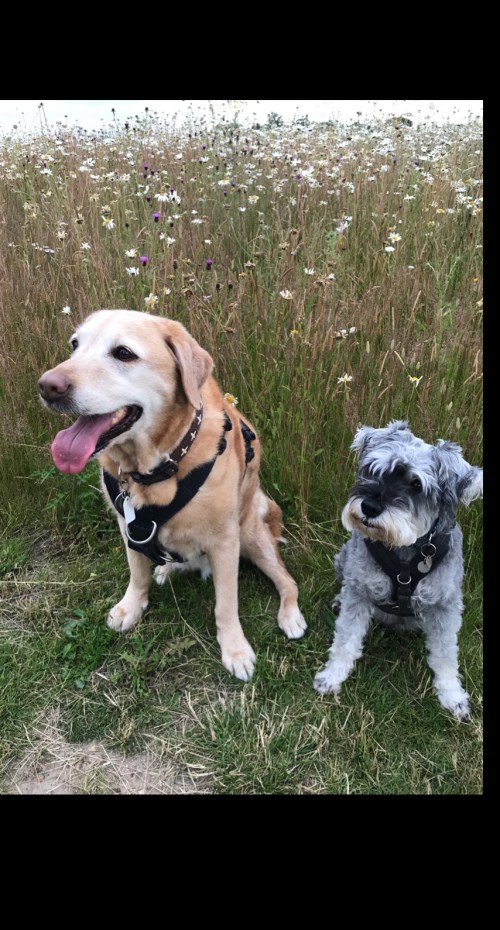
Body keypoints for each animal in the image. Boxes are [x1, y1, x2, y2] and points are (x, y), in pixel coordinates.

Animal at [38, 309, 306, 680]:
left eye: (123, 353)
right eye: (75, 345)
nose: (47, 386)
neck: (154, 469)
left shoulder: (225, 541)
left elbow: (226, 604)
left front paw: (235, 650)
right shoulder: (128, 527)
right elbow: (137, 574)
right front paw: (131, 607)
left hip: (253, 537)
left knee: (288, 581)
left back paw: (290, 615)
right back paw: (167, 569)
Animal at [313, 420, 482, 719]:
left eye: (416, 484)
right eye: (373, 469)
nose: (369, 507)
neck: (405, 550)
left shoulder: (445, 607)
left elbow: (446, 655)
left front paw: (452, 695)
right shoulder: (360, 591)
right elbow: (345, 640)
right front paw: (332, 676)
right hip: (343, 559)